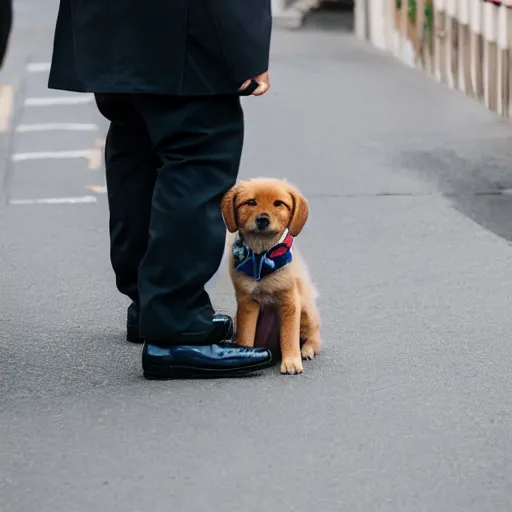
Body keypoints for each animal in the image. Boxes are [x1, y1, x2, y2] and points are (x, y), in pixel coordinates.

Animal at [220, 178, 320, 374]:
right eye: (251, 202)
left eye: (278, 203)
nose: (262, 220)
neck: (261, 256)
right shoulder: (246, 302)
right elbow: (245, 334)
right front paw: (245, 353)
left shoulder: (290, 301)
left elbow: (289, 336)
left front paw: (291, 362)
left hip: (306, 308)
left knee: (314, 336)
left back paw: (306, 350)